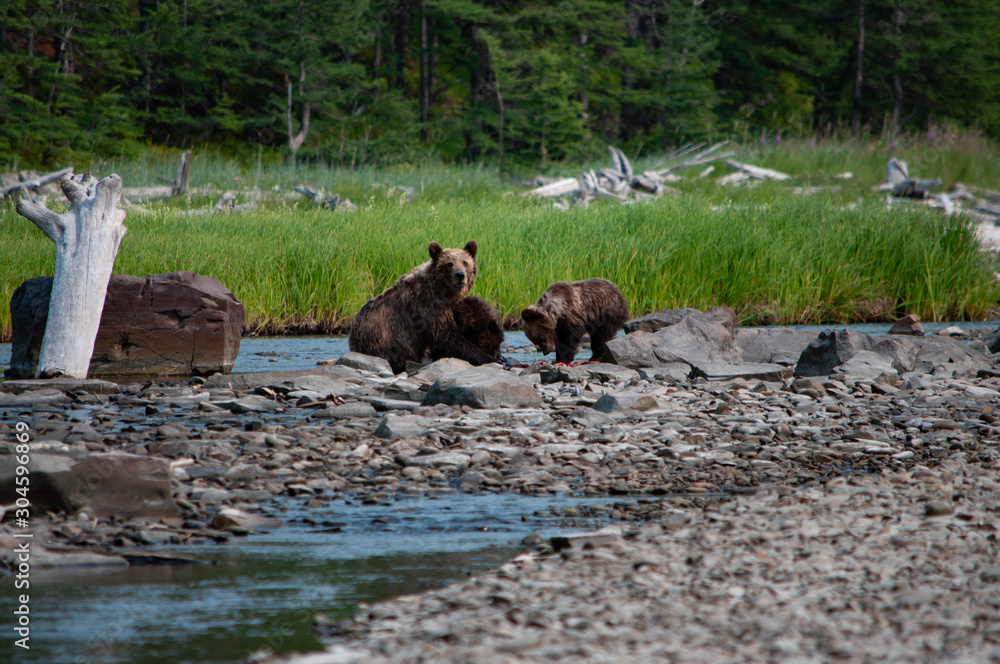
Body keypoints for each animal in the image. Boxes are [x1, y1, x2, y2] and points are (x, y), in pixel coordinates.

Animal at [348, 240, 498, 374]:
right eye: (449, 264)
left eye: (465, 262)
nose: (460, 275)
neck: (442, 292)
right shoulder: (427, 307)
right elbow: (446, 338)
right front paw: (489, 357)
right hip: (385, 341)